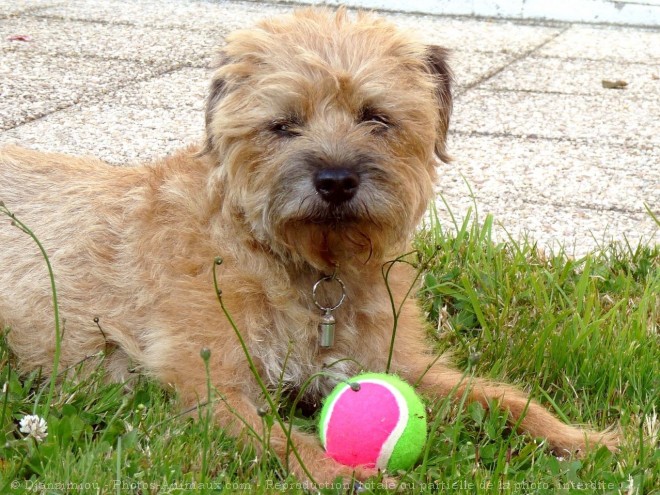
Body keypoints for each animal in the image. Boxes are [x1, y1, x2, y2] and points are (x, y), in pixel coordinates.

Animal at [1, 7, 620, 488]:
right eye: (283, 124)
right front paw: (339, 474)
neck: (310, 268)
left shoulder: (398, 364)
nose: (336, 180)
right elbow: (282, 441)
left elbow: (503, 398)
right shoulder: (209, 391)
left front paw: (585, 440)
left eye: (376, 117)